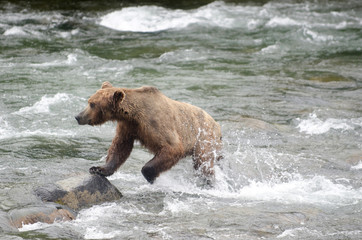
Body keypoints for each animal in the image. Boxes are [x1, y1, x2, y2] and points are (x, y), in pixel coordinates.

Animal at [75, 81, 222, 183]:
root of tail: (217, 124)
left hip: (204, 139)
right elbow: (119, 147)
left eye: (92, 104)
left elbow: (173, 147)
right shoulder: (128, 127)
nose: (78, 116)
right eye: (89, 101)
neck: (133, 115)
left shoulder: (156, 124)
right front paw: (98, 169)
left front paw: (150, 175)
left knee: (203, 163)